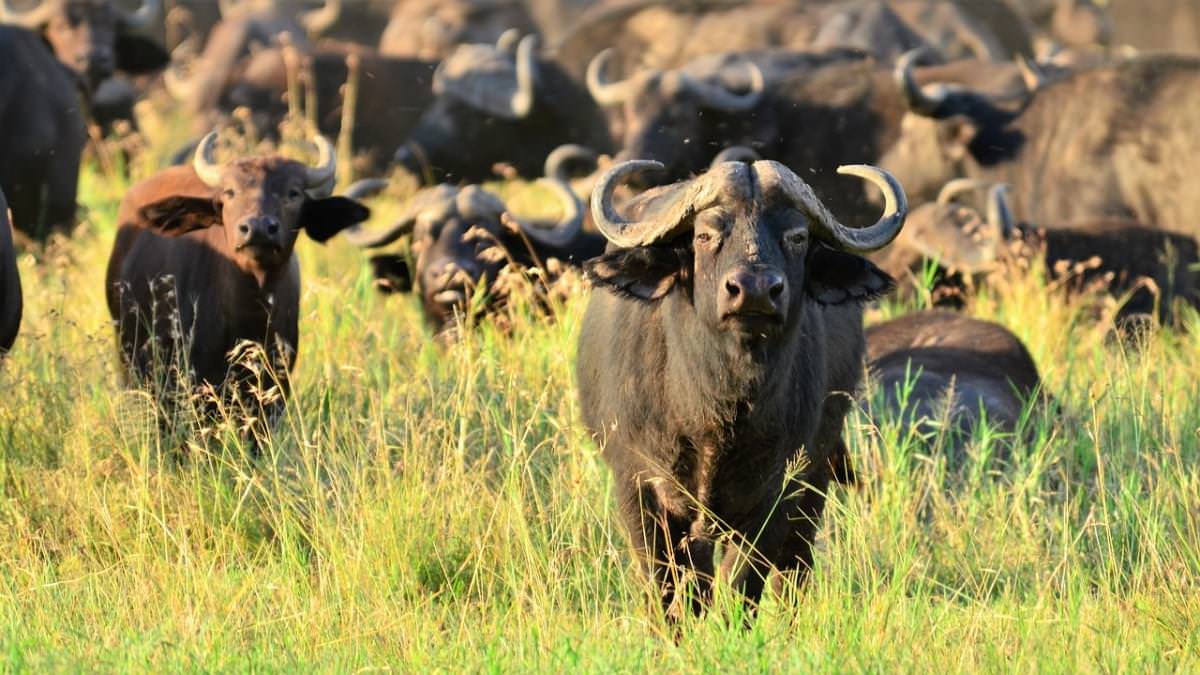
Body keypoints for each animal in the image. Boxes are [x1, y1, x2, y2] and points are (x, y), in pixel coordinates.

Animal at [576, 158, 907, 615]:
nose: (754, 291)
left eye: (797, 236)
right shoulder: (638, 487)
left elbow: (743, 584)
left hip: (816, 479)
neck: (717, 409)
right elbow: (667, 587)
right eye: (705, 234)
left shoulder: (778, 493)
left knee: (794, 571)